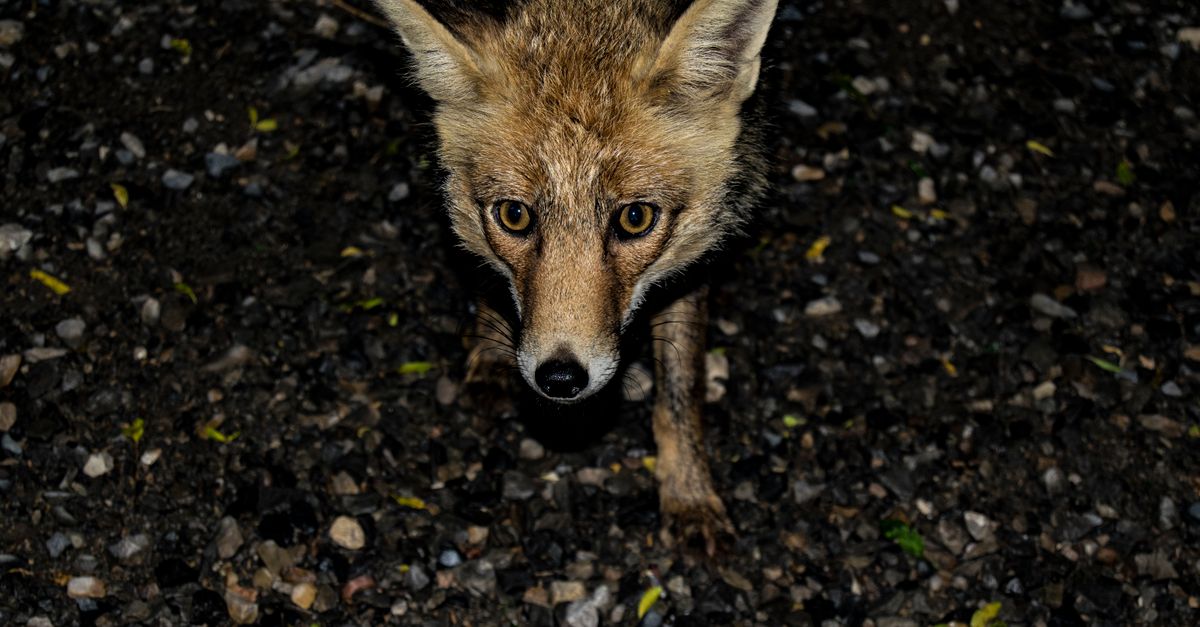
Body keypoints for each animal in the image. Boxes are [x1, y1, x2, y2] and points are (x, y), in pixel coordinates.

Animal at [375, 0, 777, 553]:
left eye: (636, 219)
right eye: (514, 216)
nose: (560, 379)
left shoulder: (697, 254)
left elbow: (680, 395)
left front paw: (690, 494)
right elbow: (488, 279)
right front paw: (490, 354)